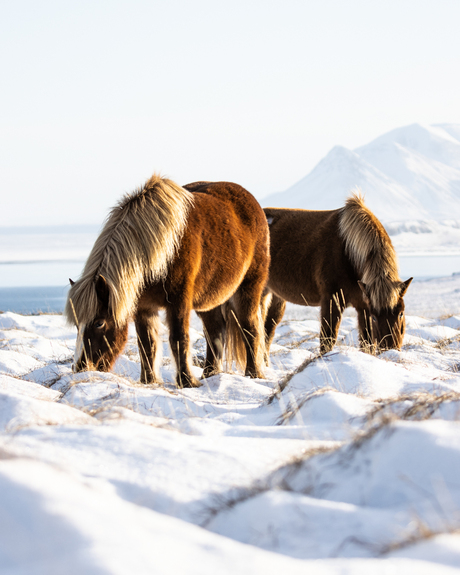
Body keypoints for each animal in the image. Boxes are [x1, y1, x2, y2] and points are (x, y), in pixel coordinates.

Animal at [68, 176, 270, 388]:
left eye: (99, 323)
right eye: (77, 325)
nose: (81, 368)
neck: (158, 252)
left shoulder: (179, 301)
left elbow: (179, 338)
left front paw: (186, 381)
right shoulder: (143, 306)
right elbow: (147, 343)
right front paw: (149, 381)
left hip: (248, 288)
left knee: (250, 328)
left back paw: (253, 373)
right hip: (209, 298)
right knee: (215, 330)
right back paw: (210, 374)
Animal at [262, 194, 414, 356]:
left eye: (401, 313)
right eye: (374, 317)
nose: (390, 351)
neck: (348, 252)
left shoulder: (363, 306)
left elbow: (366, 343)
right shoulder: (331, 301)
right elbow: (327, 340)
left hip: (275, 296)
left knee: (267, 331)